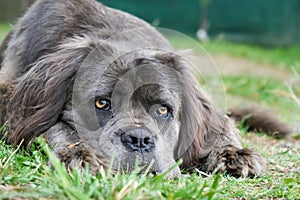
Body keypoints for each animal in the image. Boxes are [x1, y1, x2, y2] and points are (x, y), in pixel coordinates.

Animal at [1, 0, 290, 177]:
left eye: (163, 110)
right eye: (101, 103)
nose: (139, 139)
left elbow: (219, 125)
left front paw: (233, 154)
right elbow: (55, 126)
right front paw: (79, 153)